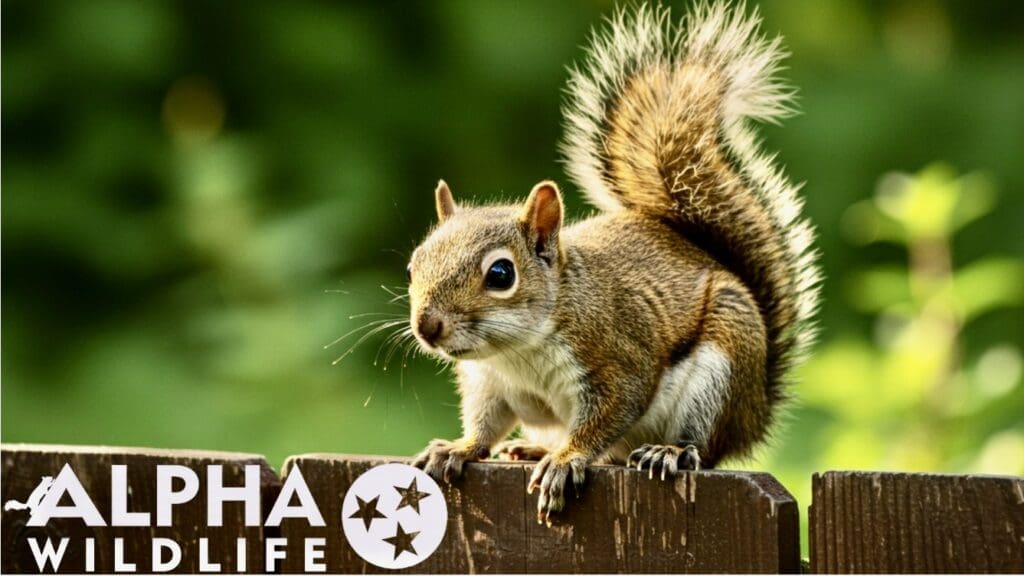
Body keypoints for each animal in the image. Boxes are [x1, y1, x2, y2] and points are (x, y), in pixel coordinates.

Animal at [407, 2, 820, 524]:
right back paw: (535, 448)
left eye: (500, 274)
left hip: (722, 370)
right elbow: (486, 425)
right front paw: (459, 447)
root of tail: (756, 410)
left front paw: (567, 460)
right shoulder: (489, 384)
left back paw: (667, 451)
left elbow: (608, 416)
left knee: (701, 447)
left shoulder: (617, 358)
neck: (517, 350)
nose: (427, 326)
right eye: (413, 265)